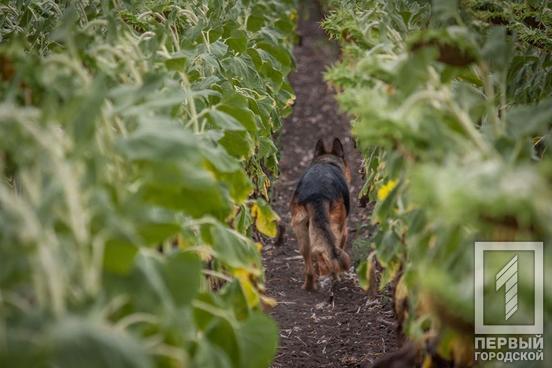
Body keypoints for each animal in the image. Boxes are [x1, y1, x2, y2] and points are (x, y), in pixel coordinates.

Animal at [292, 138, 352, 290]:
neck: (327, 161)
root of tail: (317, 194)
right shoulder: (344, 231)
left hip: (301, 231)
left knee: (310, 259)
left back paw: (309, 286)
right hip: (336, 228)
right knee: (331, 252)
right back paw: (335, 277)